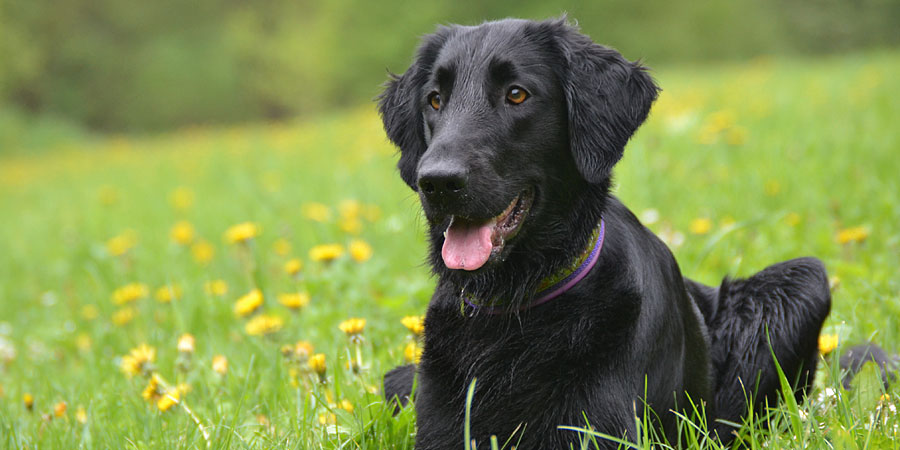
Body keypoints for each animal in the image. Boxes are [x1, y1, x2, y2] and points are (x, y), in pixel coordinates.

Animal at [378, 16, 828, 446]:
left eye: (517, 94)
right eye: (435, 100)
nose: (437, 182)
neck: (514, 304)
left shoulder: (599, 432)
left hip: (805, 281)